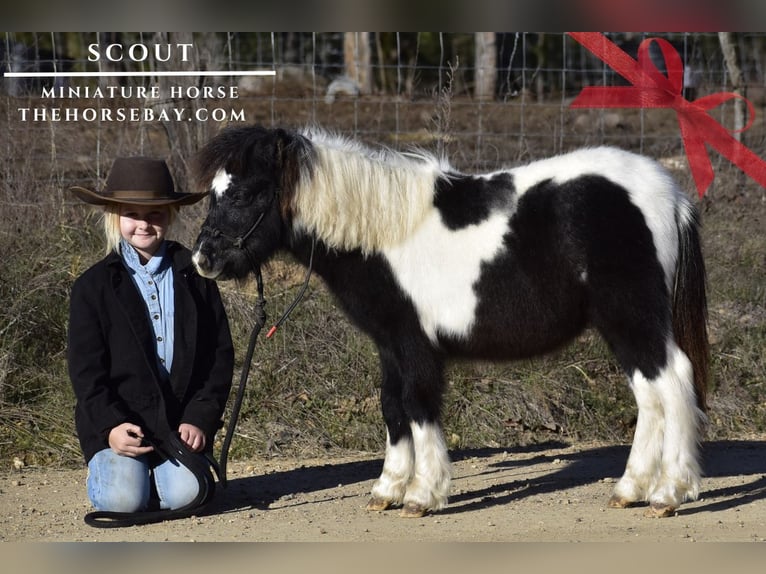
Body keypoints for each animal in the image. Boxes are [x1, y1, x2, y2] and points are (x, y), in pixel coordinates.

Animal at [195, 126, 712, 520]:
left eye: (244, 192)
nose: (204, 259)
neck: (383, 233)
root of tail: (669, 194)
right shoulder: (390, 345)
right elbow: (392, 408)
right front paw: (387, 490)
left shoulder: (415, 344)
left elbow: (419, 407)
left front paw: (422, 495)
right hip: (624, 326)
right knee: (651, 397)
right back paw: (631, 490)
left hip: (632, 317)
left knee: (672, 384)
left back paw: (669, 494)